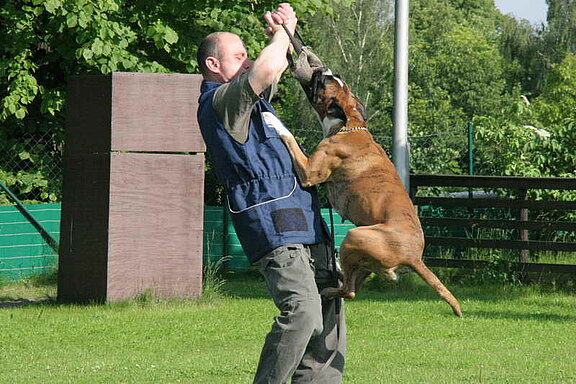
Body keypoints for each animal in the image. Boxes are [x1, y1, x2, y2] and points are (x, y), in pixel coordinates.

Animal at [270, 67, 464, 318]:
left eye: (323, 83)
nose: (322, 69)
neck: (349, 123)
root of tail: (412, 256)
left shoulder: (308, 172)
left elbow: (290, 137)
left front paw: (273, 121)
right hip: (363, 257)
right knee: (351, 288)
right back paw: (336, 277)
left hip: (354, 237)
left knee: (349, 289)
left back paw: (331, 286)